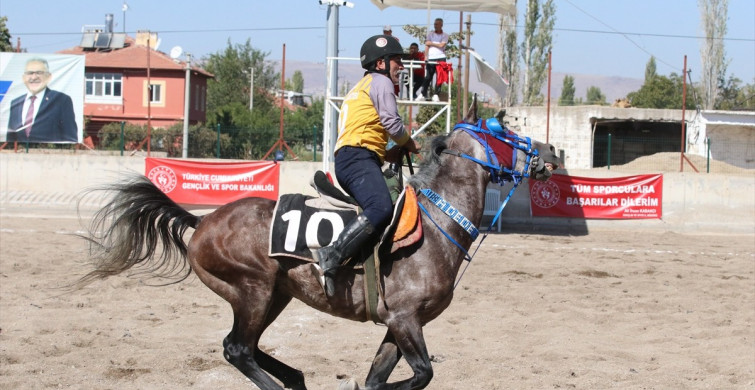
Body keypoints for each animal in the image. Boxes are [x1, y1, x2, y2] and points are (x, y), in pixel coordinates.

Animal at [79, 98, 560, 390]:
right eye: (503, 129)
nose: (553, 152)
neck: (436, 222)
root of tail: (203, 221)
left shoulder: (397, 324)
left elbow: (378, 378)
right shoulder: (405, 320)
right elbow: (421, 374)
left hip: (275, 296)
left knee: (248, 347)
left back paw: (295, 376)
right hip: (252, 290)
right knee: (237, 348)